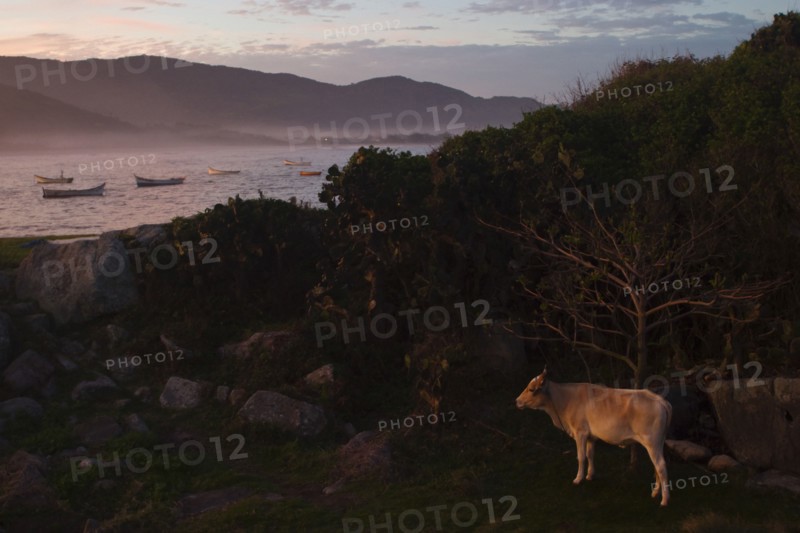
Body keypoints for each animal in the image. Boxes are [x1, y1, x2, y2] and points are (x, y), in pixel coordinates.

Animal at [515, 368, 672, 506]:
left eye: (531, 389)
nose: (517, 401)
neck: (563, 402)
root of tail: (659, 399)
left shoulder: (580, 432)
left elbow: (581, 456)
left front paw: (578, 479)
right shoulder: (591, 436)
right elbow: (590, 454)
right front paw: (590, 475)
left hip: (652, 442)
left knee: (661, 466)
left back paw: (664, 500)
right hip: (657, 443)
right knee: (656, 466)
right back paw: (655, 493)